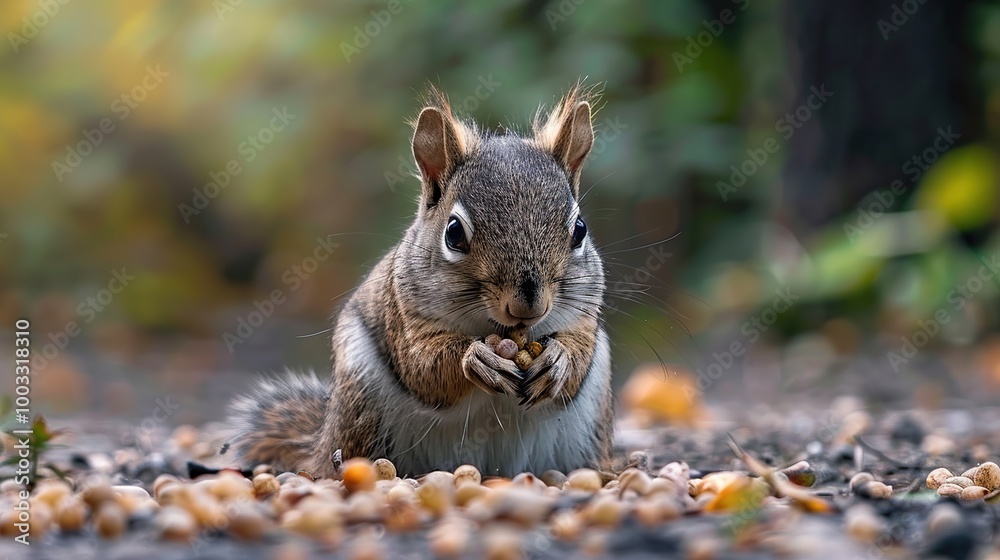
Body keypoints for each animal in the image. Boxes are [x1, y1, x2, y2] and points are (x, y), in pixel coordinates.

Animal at [227, 85, 612, 480]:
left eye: (579, 229)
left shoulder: (584, 316)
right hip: (362, 409)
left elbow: (579, 352)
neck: (498, 328)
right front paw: (475, 359)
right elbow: (423, 368)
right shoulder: (405, 316)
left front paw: (558, 360)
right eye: (453, 232)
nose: (527, 305)